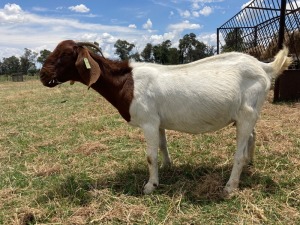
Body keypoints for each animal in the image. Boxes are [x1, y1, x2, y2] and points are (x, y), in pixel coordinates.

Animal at [39, 40, 290, 195]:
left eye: (65, 54)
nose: (42, 75)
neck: (127, 82)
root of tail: (264, 67)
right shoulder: (158, 122)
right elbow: (162, 145)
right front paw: (168, 167)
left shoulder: (148, 122)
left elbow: (150, 156)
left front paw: (151, 185)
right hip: (248, 113)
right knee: (252, 136)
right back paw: (249, 163)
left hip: (247, 113)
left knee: (240, 150)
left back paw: (230, 186)